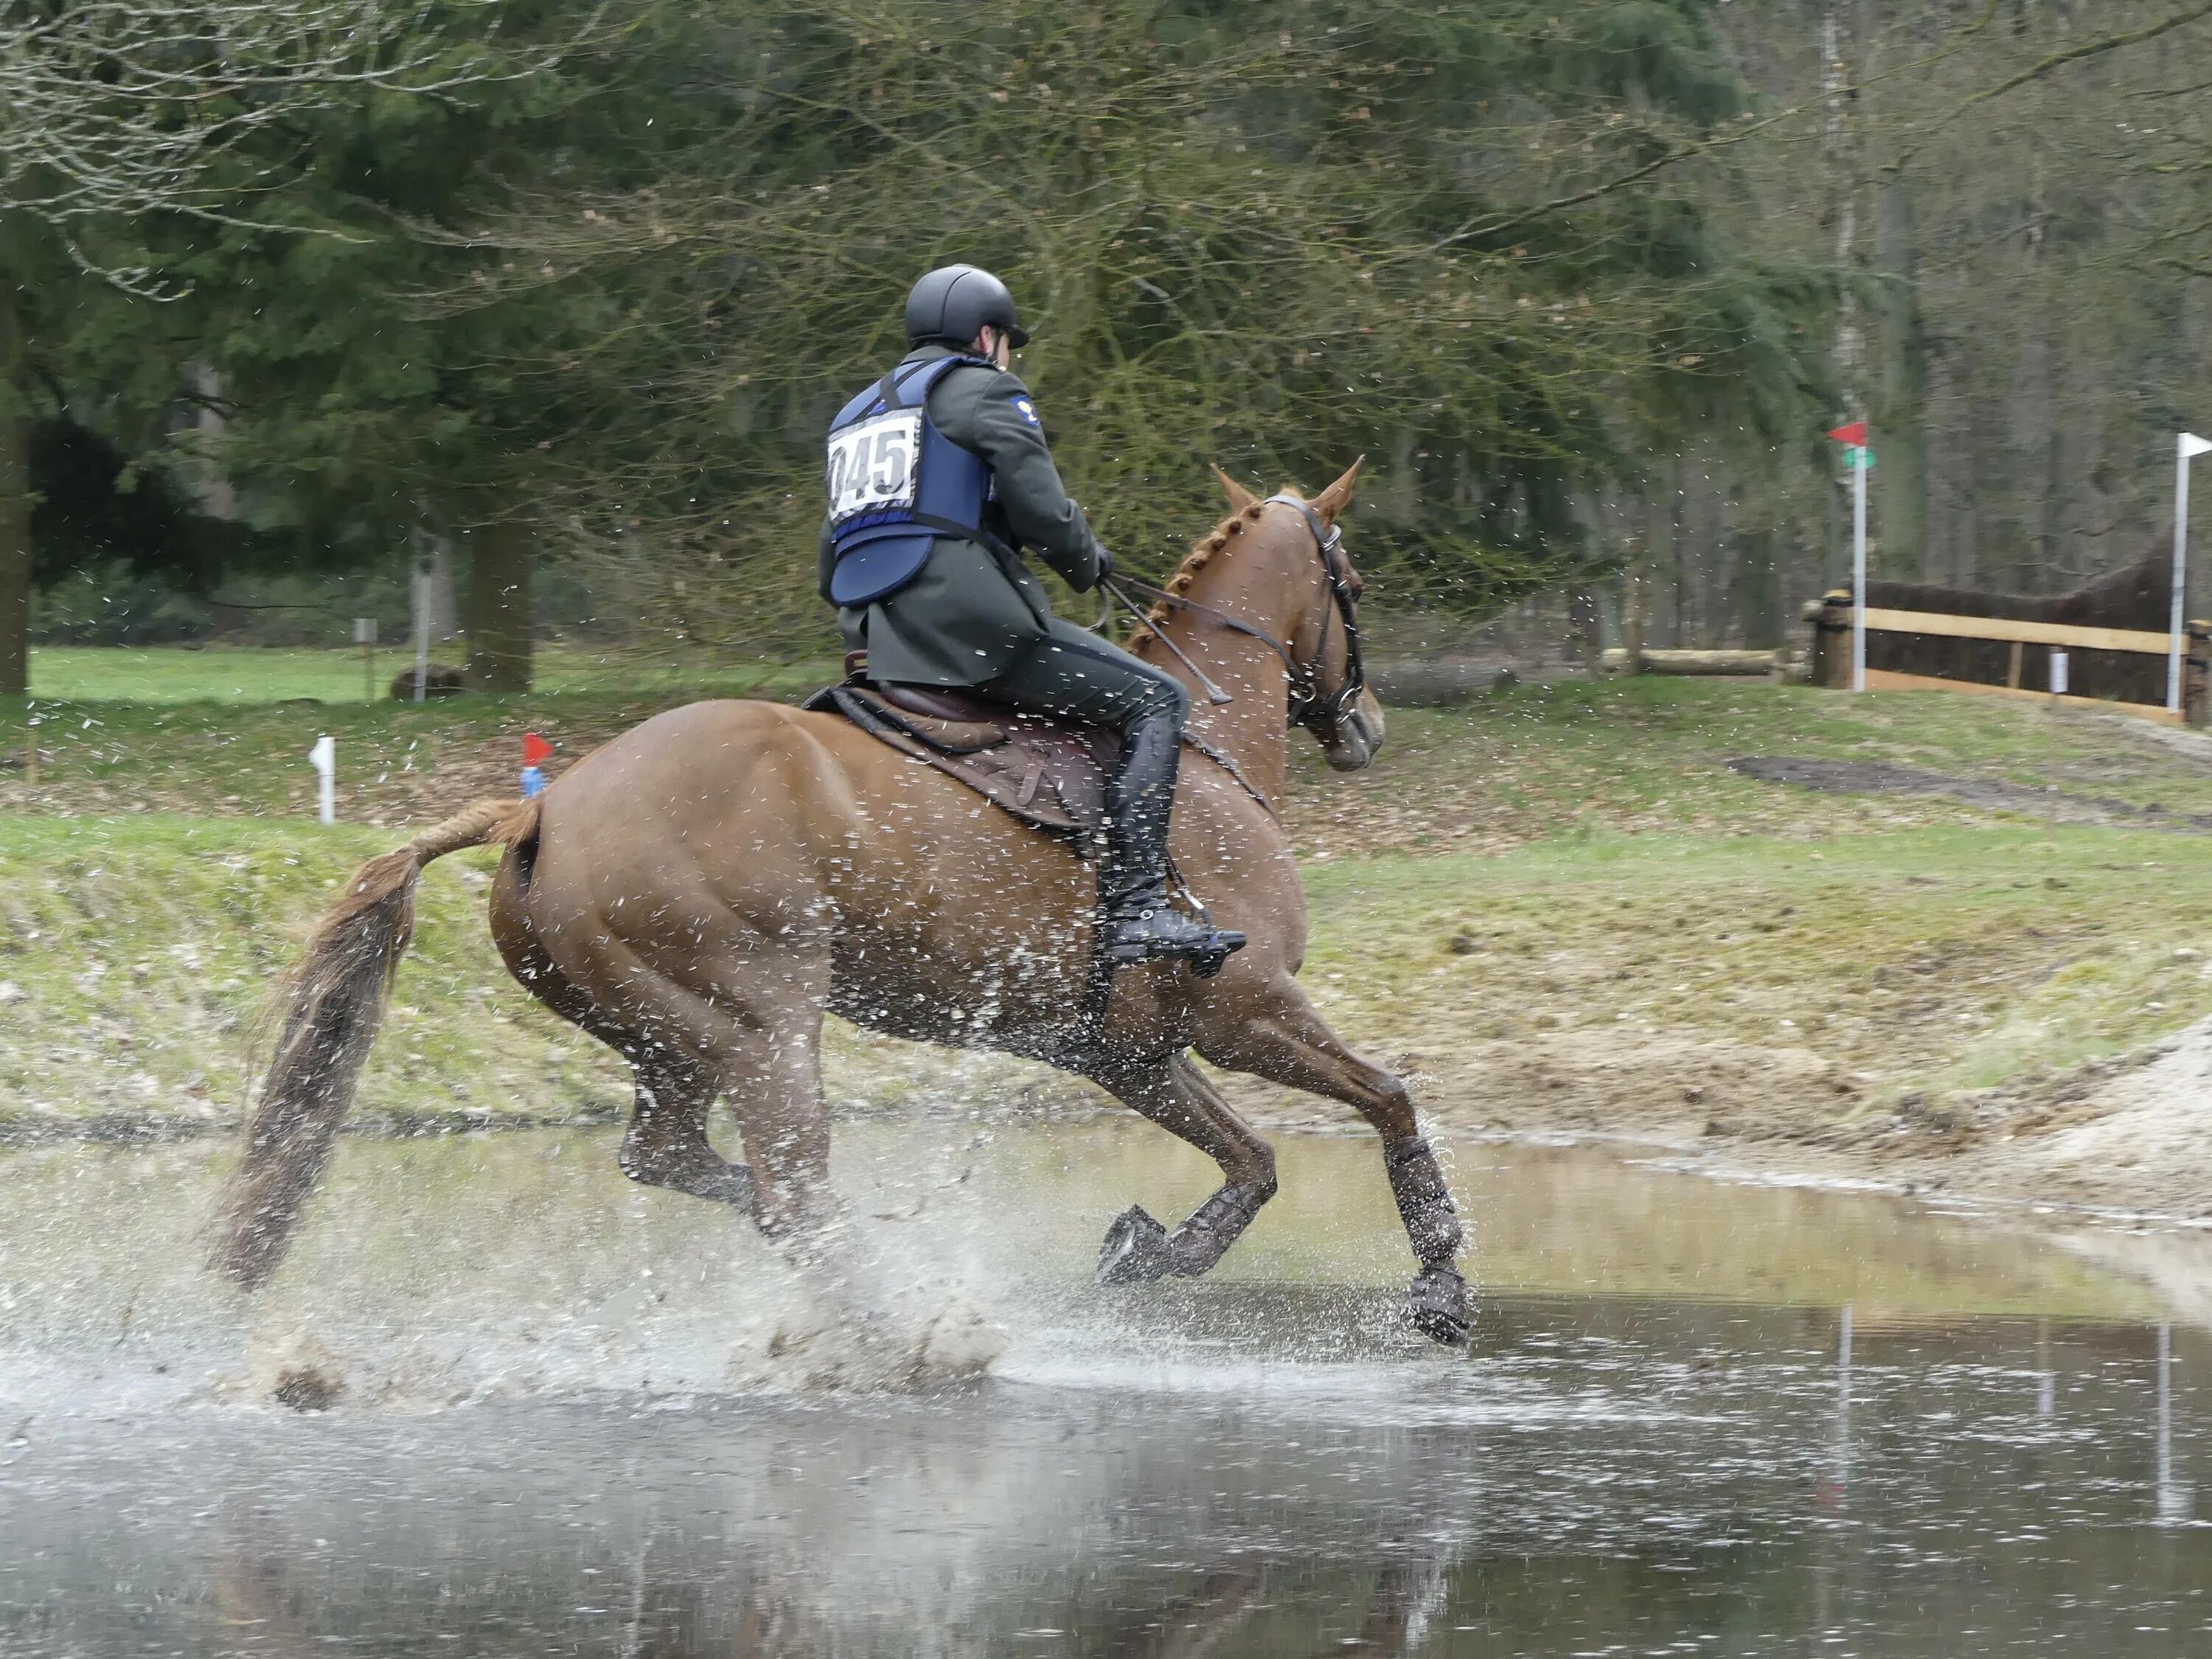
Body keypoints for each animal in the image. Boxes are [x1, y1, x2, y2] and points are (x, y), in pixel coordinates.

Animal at [211, 458, 1469, 1354]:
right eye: (1354, 587)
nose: (1367, 726)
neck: (1203, 743)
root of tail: (546, 809)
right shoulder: (1243, 1007)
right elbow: (1389, 1099)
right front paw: (1443, 1282)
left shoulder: (1128, 1051)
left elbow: (1252, 1165)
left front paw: (1145, 1250)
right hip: (764, 1024)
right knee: (789, 1188)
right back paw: (899, 1332)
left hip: (668, 1034)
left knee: (681, 1162)